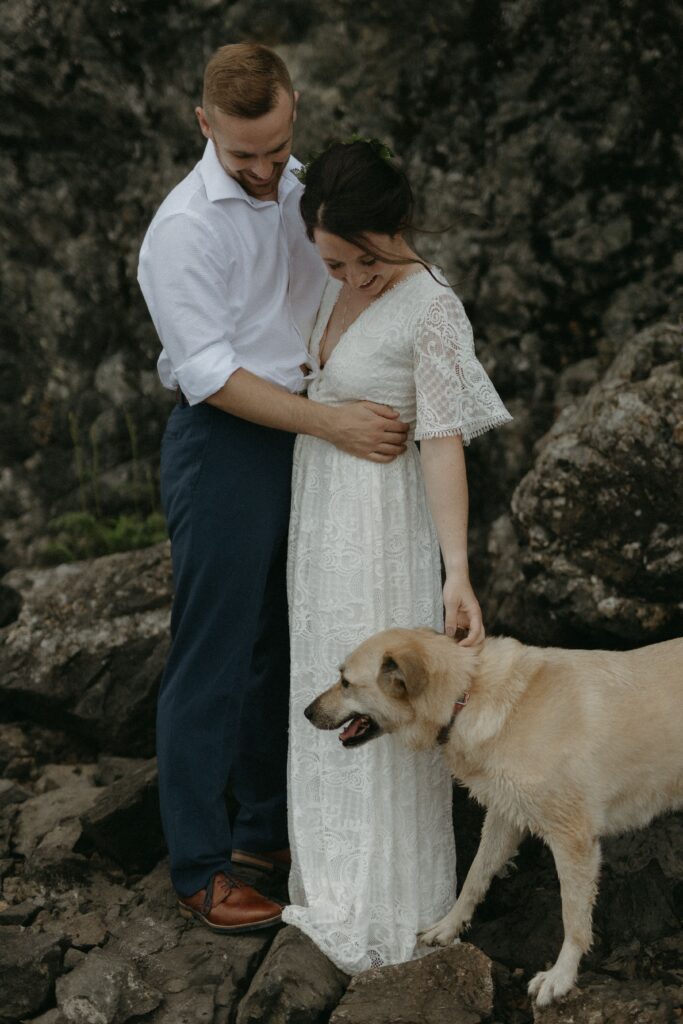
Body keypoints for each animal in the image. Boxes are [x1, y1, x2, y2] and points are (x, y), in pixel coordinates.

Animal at [305, 626, 683, 1003]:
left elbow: (573, 915)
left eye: (346, 682)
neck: (467, 696)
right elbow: (476, 875)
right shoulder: (506, 816)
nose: (306, 712)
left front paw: (560, 976)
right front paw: (448, 927)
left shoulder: (573, 837)